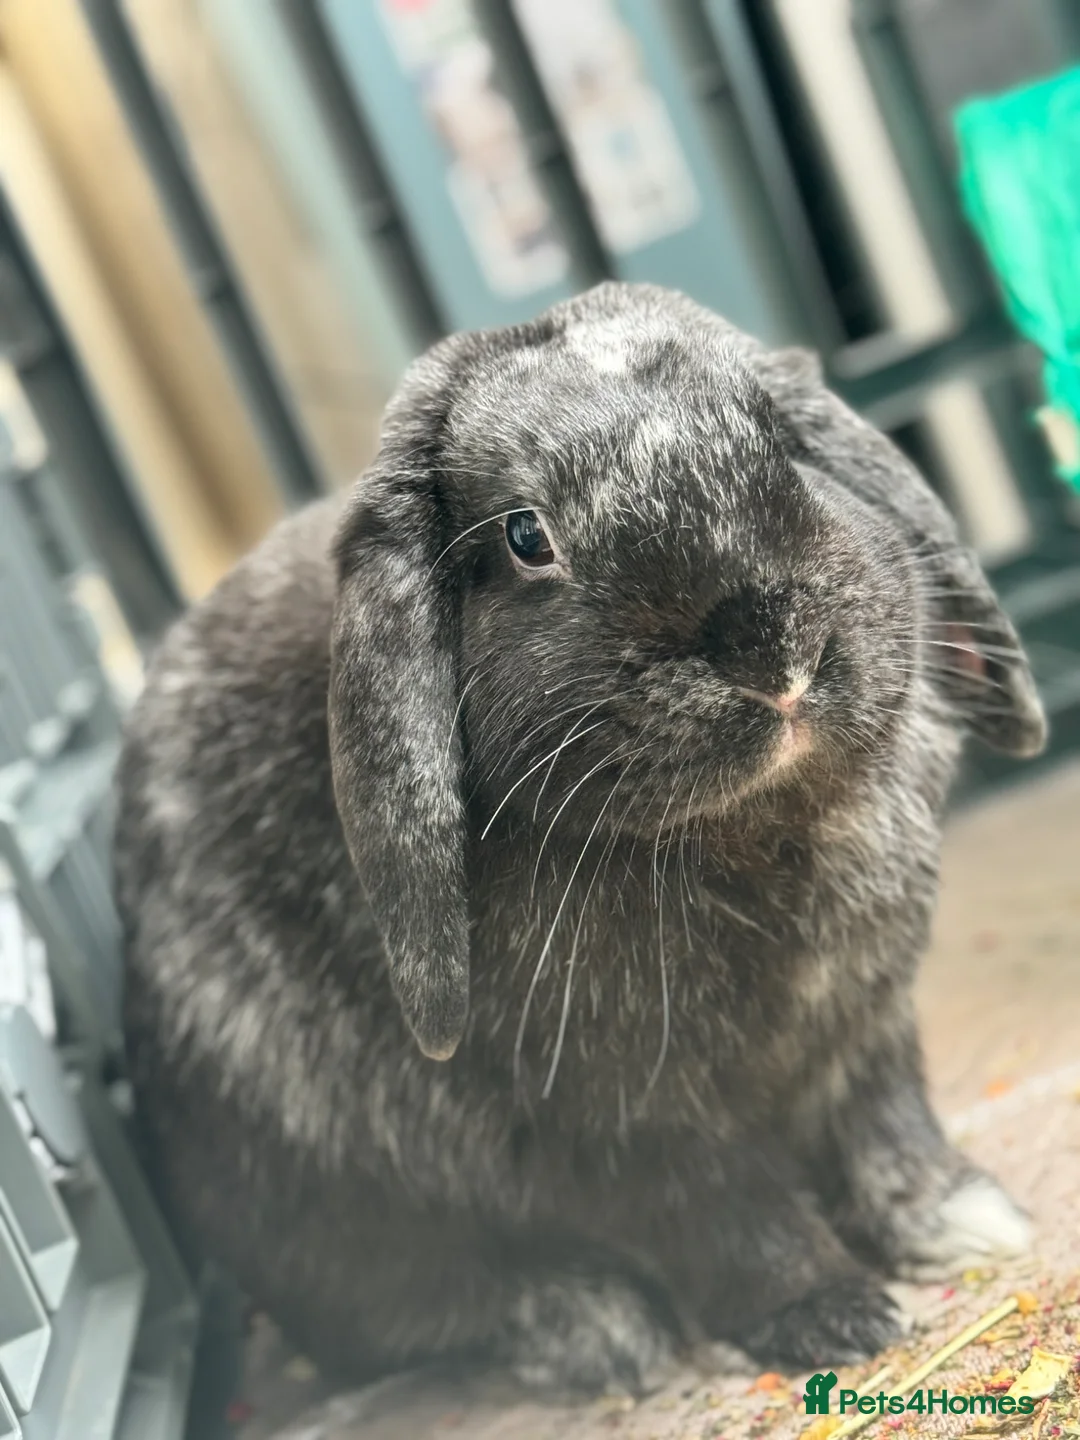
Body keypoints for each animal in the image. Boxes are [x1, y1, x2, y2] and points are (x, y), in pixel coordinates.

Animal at [114, 281, 1047, 1396]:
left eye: (778, 441)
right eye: (527, 536)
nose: (771, 652)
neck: (746, 833)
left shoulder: (862, 1032)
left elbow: (886, 1129)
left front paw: (966, 1221)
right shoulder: (618, 1125)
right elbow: (730, 1219)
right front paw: (838, 1315)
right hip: (336, 1226)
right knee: (413, 1312)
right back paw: (597, 1326)